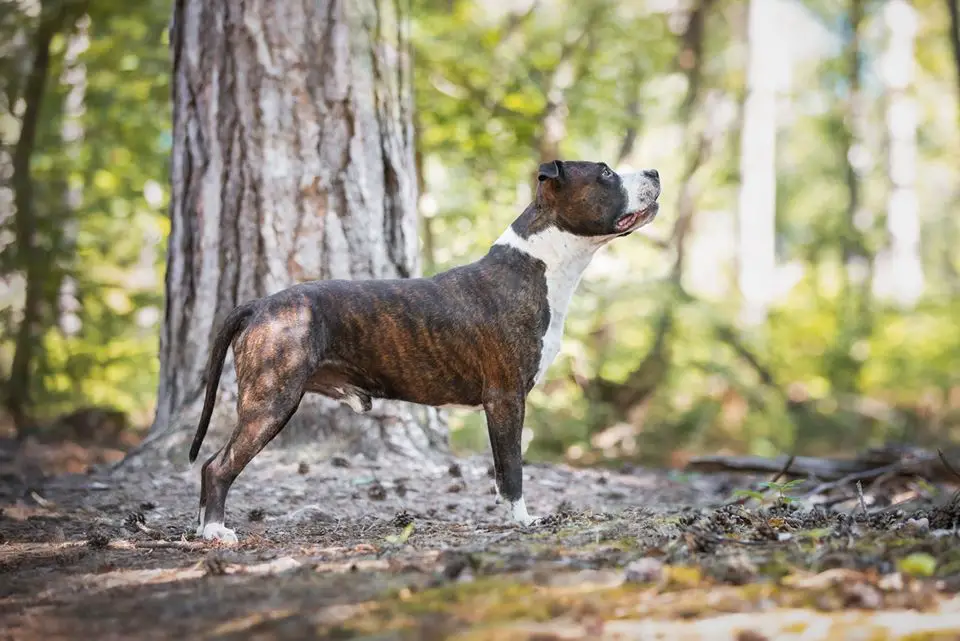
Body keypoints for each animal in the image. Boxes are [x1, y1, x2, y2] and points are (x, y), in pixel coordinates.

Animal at [186, 159, 660, 540]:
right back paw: (215, 531)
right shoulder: (506, 399)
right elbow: (511, 469)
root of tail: (261, 303)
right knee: (217, 465)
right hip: (271, 400)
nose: (654, 172)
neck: (538, 263)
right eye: (605, 172)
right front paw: (523, 522)